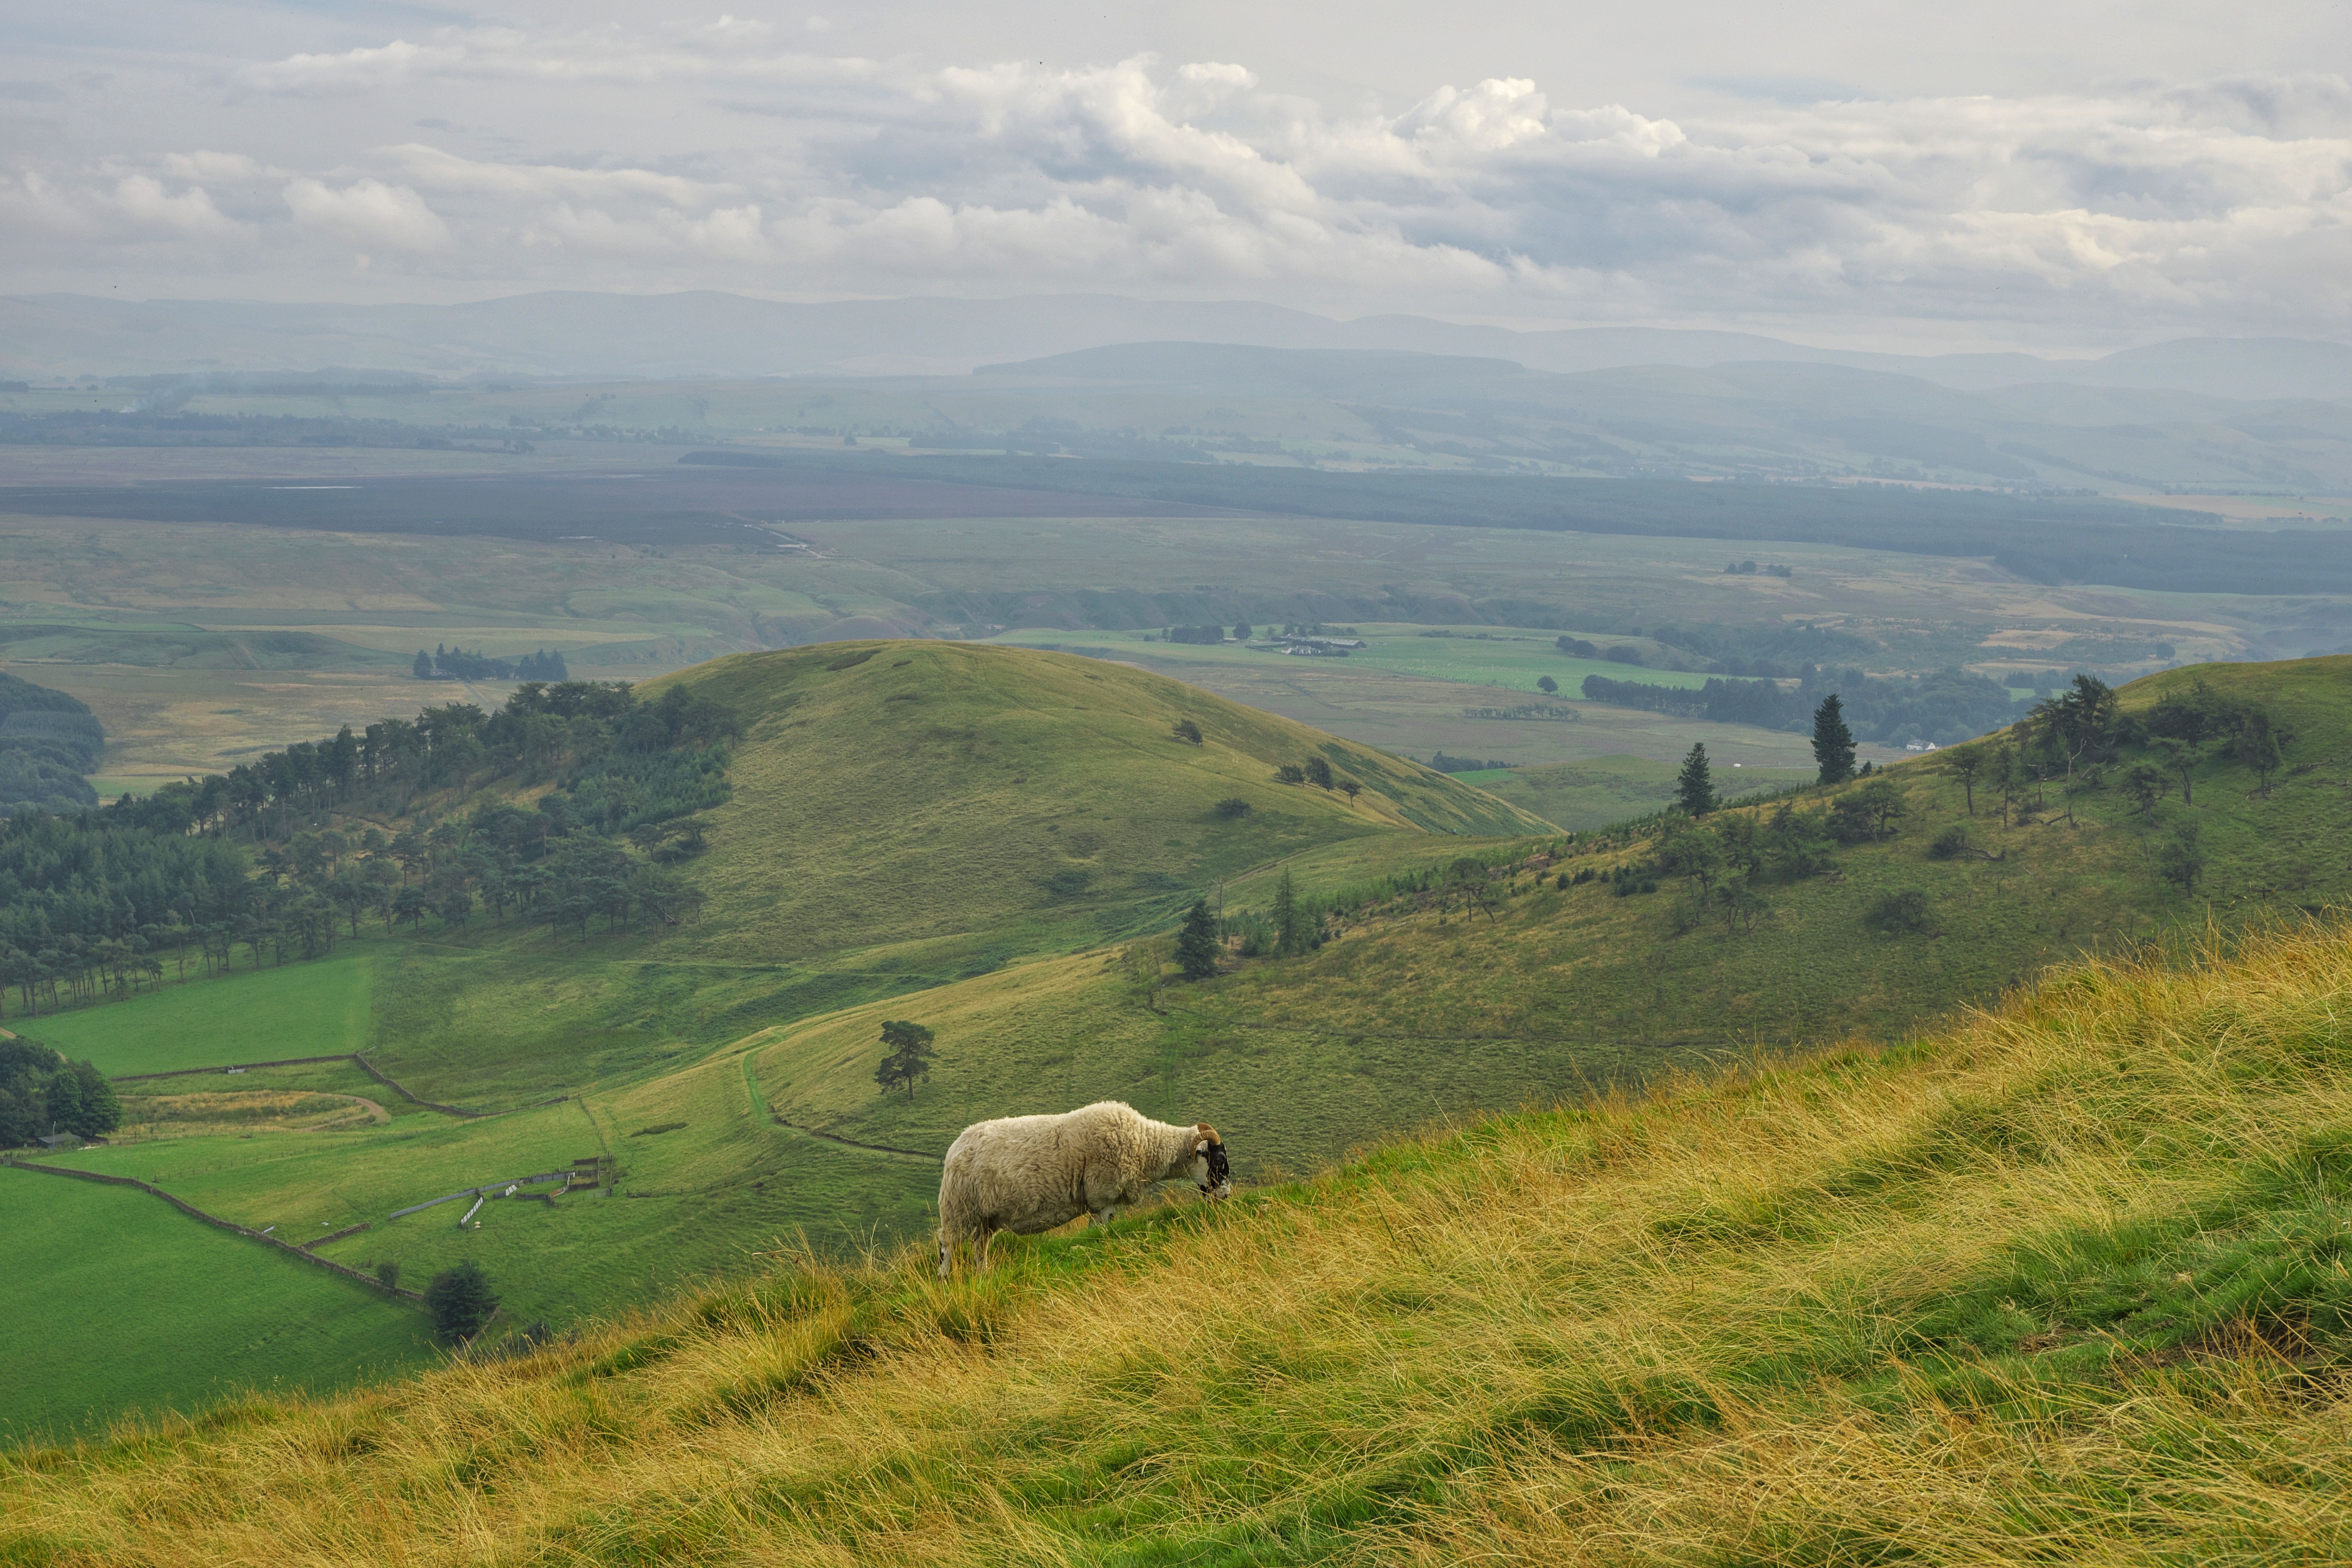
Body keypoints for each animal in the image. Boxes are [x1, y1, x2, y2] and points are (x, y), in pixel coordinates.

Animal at [937, 1100, 1231, 1276]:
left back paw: (983, 1277)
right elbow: (1104, 1232)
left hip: (986, 1218)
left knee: (980, 1247)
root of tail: (956, 1146)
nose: (1226, 1196)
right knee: (946, 1243)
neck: (1145, 1144)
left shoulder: (1097, 1204)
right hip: (958, 1209)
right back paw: (945, 1278)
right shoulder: (1103, 1197)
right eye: (1219, 1160)